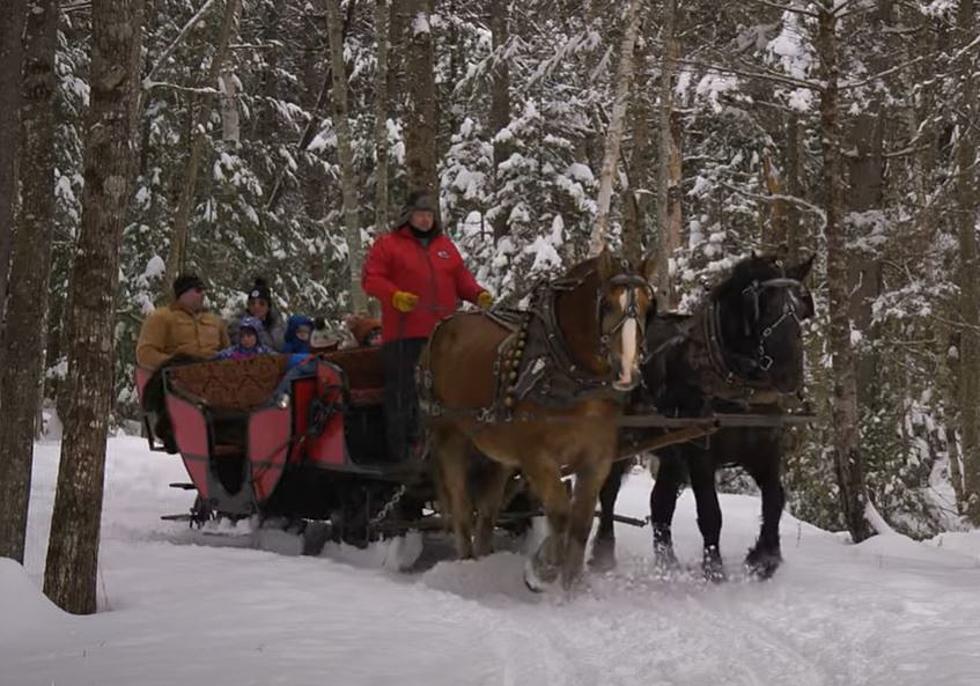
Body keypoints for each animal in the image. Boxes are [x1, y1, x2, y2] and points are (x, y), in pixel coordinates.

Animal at [418, 253, 656, 592]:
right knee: (462, 509)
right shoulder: (537, 456)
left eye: (649, 306)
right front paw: (543, 567)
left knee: (487, 513)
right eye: (608, 304)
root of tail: (442, 327)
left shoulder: (597, 459)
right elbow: (559, 512)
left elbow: (580, 523)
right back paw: (466, 569)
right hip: (448, 435)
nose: (627, 373)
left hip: (497, 454)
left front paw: (570, 588)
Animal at [592, 255, 816, 584]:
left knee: (660, 504)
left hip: (671, 452)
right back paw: (603, 554)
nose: (791, 373)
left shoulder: (765, 449)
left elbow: (775, 499)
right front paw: (714, 569)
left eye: (801, 307)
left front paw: (764, 558)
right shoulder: (700, 453)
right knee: (608, 493)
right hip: (624, 439)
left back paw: (667, 563)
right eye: (764, 307)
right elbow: (711, 511)